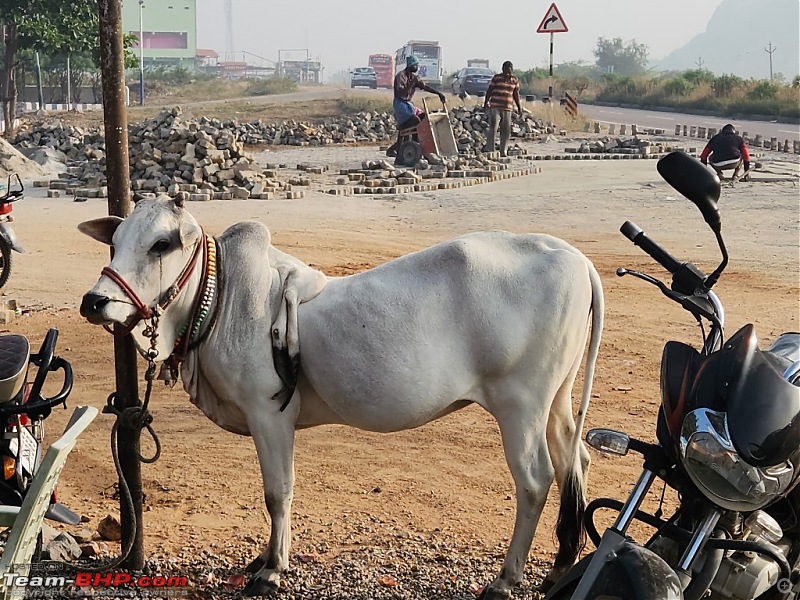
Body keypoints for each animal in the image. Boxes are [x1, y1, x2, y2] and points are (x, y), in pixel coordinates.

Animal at [81, 197, 604, 600]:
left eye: (161, 244)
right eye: (115, 242)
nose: (94, 301)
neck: (221, 299)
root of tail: (572, 257)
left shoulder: (269, 415)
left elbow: (277, 492)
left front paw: (272, 570)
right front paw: (263, 558)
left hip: (520, 406)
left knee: (536, 480)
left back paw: (506, 578)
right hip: (555, 402)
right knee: (572, 461)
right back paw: (559, 567)